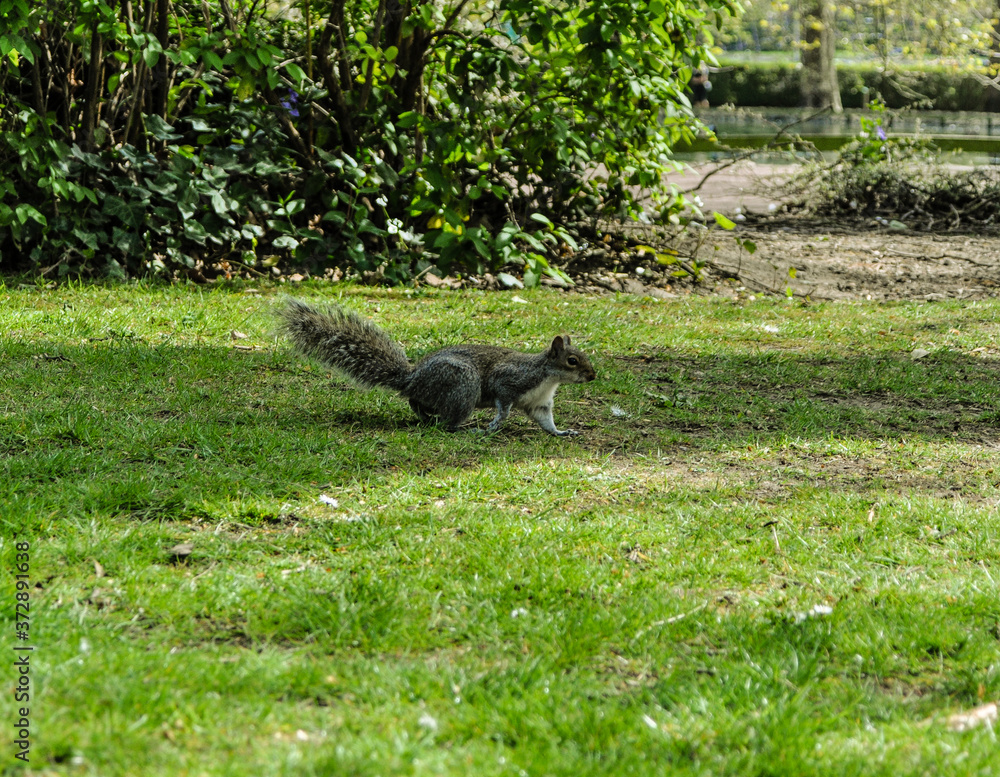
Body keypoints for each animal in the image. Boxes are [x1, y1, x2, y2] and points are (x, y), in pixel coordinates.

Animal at [277, 298, 597, 436]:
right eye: (572, 360)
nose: (593, 376)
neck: (547, 377)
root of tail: (412, 378)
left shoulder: (540, 404)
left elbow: (546, 422)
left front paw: (562, 432)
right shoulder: (509, 380)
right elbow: (503, 401)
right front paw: (496, 422)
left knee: (416, 403)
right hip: (463, 383)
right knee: (447, 422)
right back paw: (466, 429)